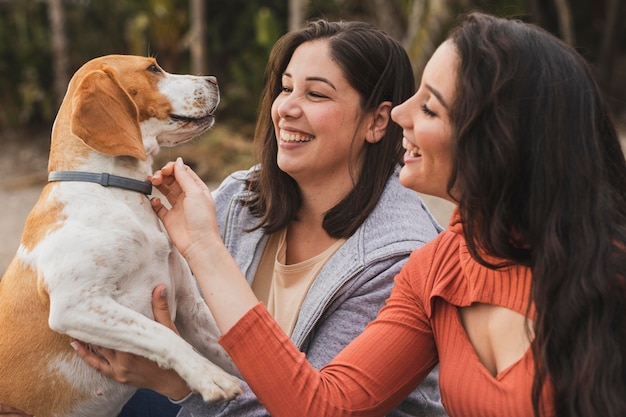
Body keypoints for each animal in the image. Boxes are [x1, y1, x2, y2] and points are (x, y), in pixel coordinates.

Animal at [0, 55, 241, 416]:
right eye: (153, 68)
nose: (213, 79)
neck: (116, 190)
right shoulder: (75, 304)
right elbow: (162, 335)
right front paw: (210, 377)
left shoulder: (189, 304)